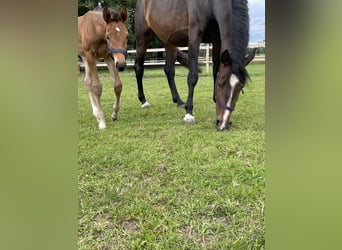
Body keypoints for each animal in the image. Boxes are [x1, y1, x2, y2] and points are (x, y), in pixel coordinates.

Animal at [135, 0, 255, 129]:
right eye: (220, 84)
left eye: (241, 87)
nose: (223, 124)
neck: (209, 5)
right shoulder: (194, 37)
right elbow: (193, 76)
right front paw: (189, 114)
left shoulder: (217, 40)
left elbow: (215, 71)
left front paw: (214, 99)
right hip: (142, 37)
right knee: (139, 68)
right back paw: (144, 101)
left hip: (169, 42)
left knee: (169, 71)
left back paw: (179, 101)